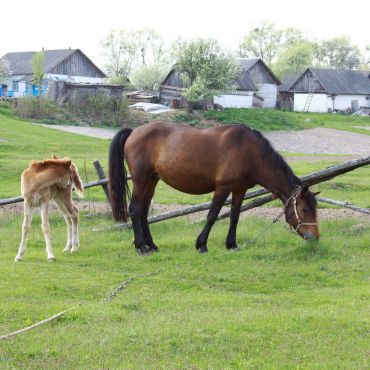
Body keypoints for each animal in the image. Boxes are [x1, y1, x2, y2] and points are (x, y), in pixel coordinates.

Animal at [108, 121, 320, 254]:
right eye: (304, 210)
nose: (315, 238)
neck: (250, 152)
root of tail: (134, 131)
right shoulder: (222, 188)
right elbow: (212, 215)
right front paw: (201, 244)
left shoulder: (240, 189)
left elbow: (234, 217)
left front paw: (232, 244)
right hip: (140, 180)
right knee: (135, 210)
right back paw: (141, 247)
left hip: (151, 180)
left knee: (143, 212)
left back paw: (151, 245)